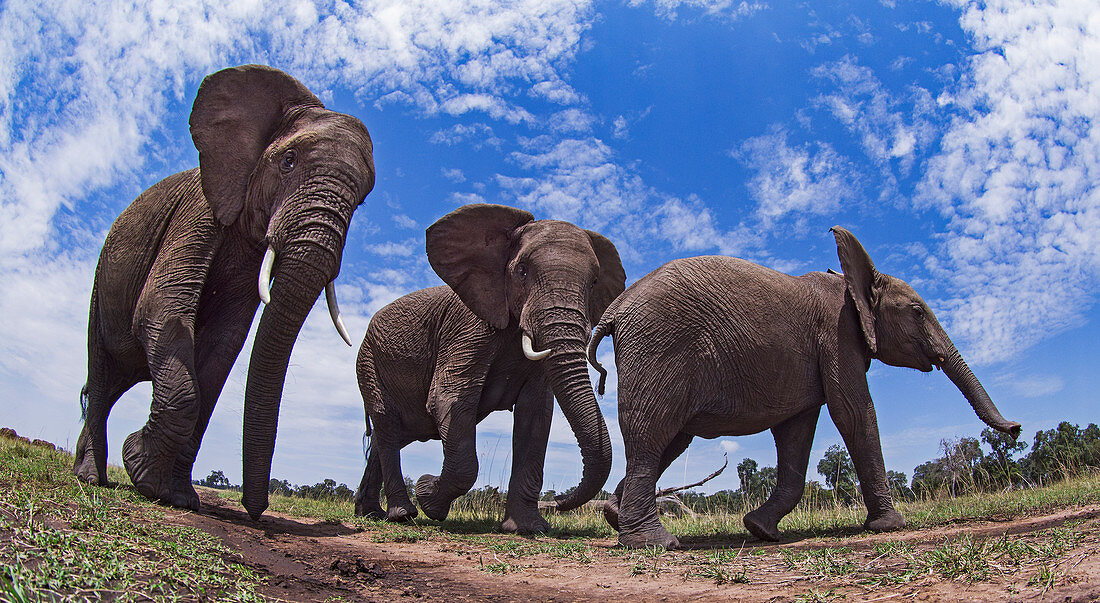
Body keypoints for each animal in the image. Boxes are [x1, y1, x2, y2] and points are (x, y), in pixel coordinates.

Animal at [73, 64, 376, 517]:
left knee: (109, 386)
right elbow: (161, 310)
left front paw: (177, 495)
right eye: (287, 162)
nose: (257, 509)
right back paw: (92, 477)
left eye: (359, 204)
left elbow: (221, 348)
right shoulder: (197, 210)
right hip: (100, 283)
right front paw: (141, 470)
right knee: (103, 376)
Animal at [354, 204, 624, 534]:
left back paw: (370, 513)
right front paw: (428, 495)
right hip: (369, 363)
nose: (557, 501)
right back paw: (402, 513)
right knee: (388, 427)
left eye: (594, 282)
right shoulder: (467, 328)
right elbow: (449, 399)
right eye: (522, 271)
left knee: (387, 437)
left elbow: (535, 416)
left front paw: (528, 528)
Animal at [594, 224, 1020, 545]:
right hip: (659, 345)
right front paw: (891, 526)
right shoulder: (838, 336)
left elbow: (796, 432)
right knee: (652, 436)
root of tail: (615, 310)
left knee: (671, 438)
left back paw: (615, 517)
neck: (854, 281)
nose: (1016, 428)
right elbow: (853, 412)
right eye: (917, 312)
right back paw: (654, 542)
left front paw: (760, 530)